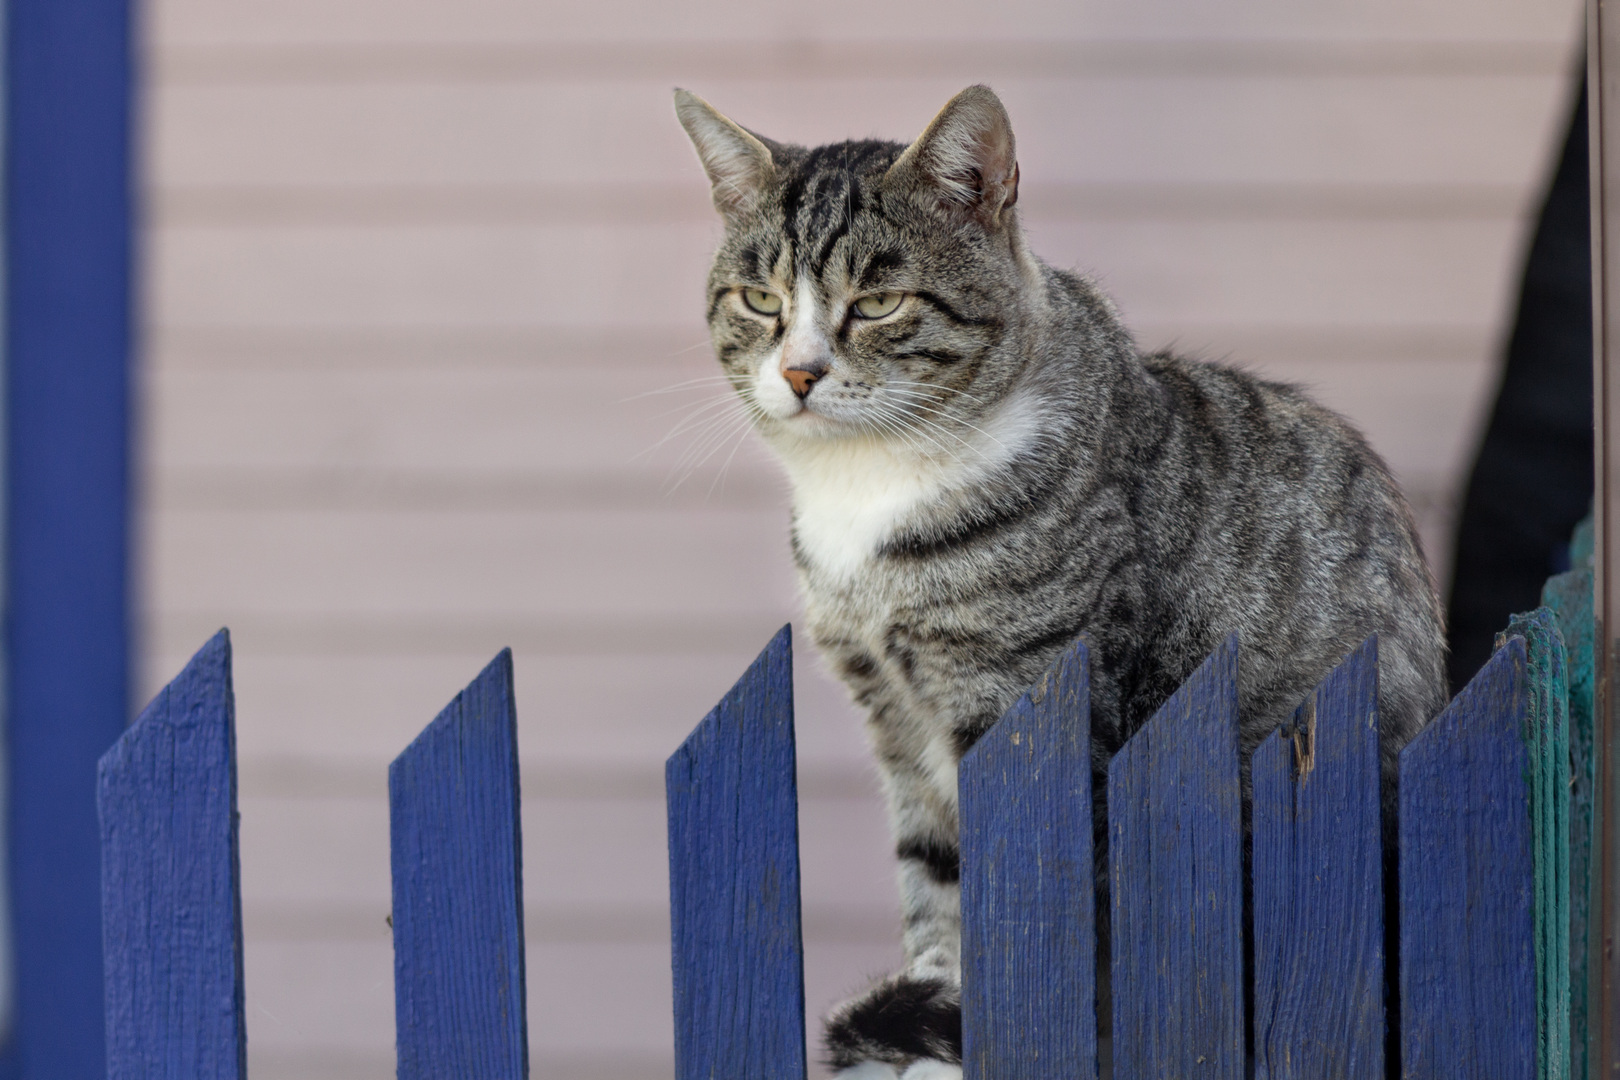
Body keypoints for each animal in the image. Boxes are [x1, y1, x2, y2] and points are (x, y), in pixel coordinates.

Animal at [670, 80, 1445, 1075]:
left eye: (878, 302)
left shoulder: (1023, 699)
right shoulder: (895, 719)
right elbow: (935, 879)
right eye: (760, 298)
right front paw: (938, 1011)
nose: (800, 372)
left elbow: (1021, 891)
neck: (870, 487)